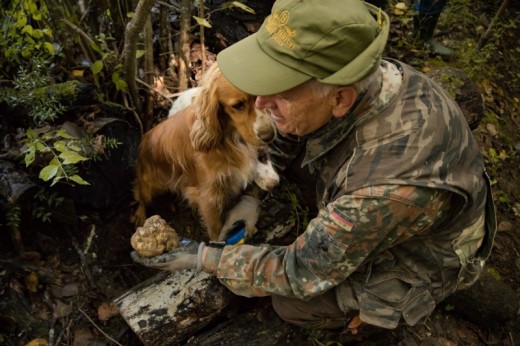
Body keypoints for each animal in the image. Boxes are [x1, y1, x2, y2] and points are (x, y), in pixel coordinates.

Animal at [132, 63, 278, 239]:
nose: (269, 135)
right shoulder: (207, 196)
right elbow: (216, 229)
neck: (230, 136)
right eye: (238, 105)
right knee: (141, 196)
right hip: (149, 182)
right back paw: (140, 215)